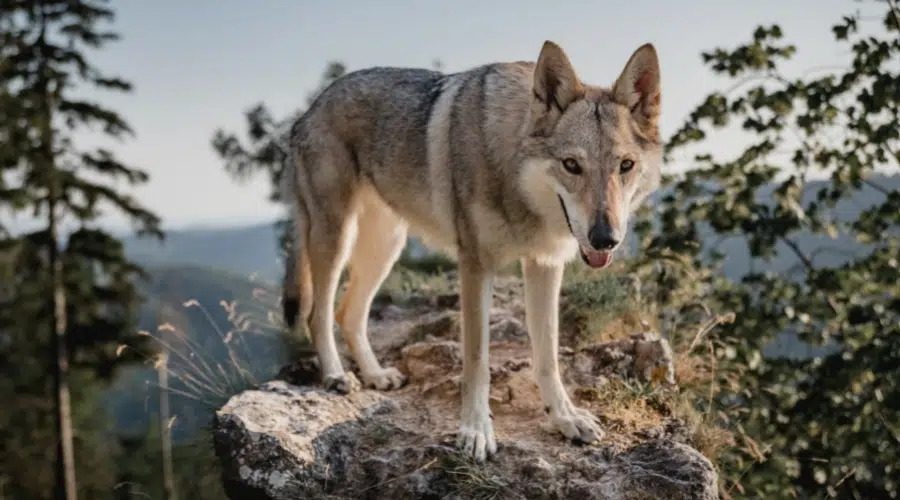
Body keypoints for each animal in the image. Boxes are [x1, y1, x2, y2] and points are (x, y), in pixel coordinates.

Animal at [278, 41, 664, 462]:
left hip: (385, 247)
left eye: (625, 165)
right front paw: (476, 431)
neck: (511, 170)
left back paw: (377, 375)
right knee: (318, 313)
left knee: (348, 314)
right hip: (336, 238)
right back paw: (336, 376)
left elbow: (547, 356)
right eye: (571, 165)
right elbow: (477, 362)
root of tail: (310, 108)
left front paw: (565, 417)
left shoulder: (545, 264)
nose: (605, 238)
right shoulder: (476, 266)